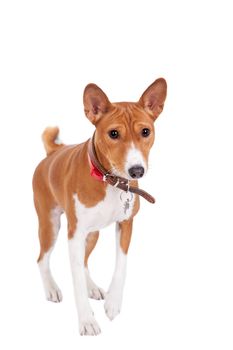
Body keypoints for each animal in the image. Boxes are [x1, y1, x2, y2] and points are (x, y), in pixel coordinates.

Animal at [32, 78, 167, 334]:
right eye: (113, 133)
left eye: (145, 132)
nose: (137, 170)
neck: (109, 180)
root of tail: (54, 151)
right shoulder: (73, 234)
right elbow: (75, 282)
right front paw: (87, 321)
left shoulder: (126, 224)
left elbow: (121, 264)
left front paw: (113, 303)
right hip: (51, 225)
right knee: (42, 259)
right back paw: (51, 289)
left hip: (92, 233)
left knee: (83, 261)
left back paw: (92, 287)